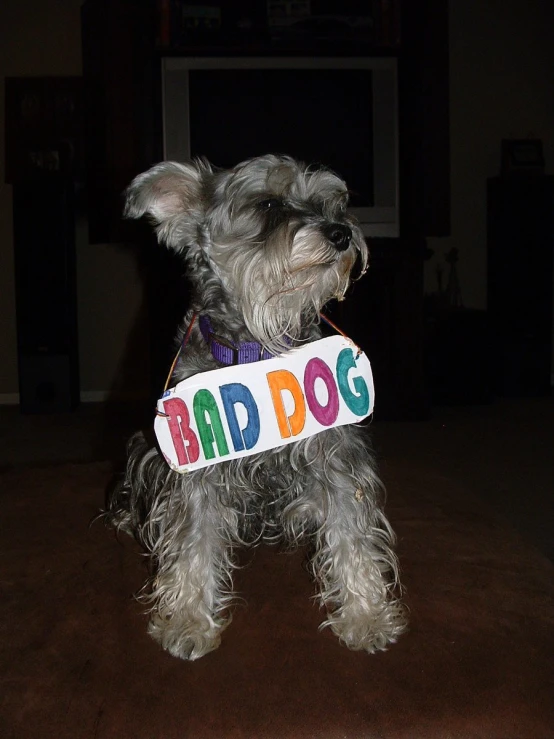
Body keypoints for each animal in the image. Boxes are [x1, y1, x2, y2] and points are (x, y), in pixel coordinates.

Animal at [108, 155, 408, 660]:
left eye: (334, 201)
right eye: (268, 204)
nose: (341, 233)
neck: (261, 346)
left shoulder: (335, 456)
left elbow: (352, 534)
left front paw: (365, 615)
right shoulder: (194, 469)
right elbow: (192, 542)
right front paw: (188, 620)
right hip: (141, 447)